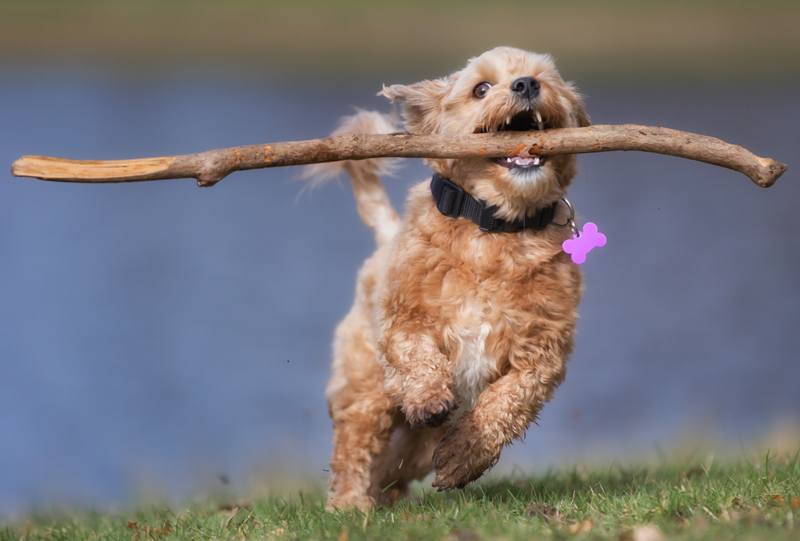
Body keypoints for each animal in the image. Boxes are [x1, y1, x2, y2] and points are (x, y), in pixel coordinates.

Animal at [310, 47, 592, 510]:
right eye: (481, 88)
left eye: (545, 79)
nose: (526, 84)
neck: (493, 228)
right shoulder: (402, 320)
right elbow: (417, 355)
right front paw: (429, 396)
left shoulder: (543, 351)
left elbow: (508, 400)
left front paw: (466, 452)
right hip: (367, 388)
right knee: (354, 445)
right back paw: (349, 504)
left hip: (414, 449)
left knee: (394, 467)